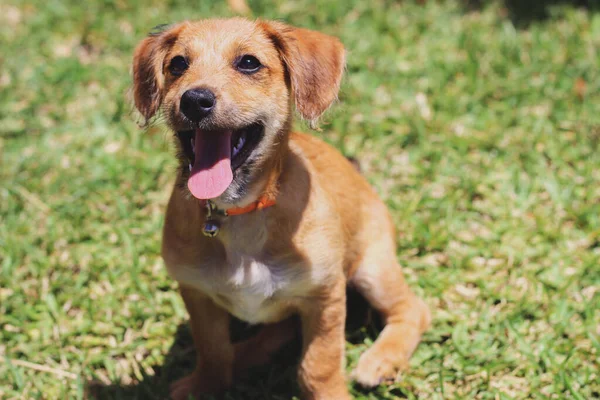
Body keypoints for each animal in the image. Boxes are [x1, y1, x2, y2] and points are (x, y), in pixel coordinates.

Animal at [133, 18, 428, 400]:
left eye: (248, 63)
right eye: (178, 65)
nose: (195, 101)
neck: (242, 212)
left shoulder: (325, 296)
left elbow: (318, 365)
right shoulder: (197, 294)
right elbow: (213, 350)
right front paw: (205, 386)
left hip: (373, 267)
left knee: (414, 309)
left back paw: (380, 360)